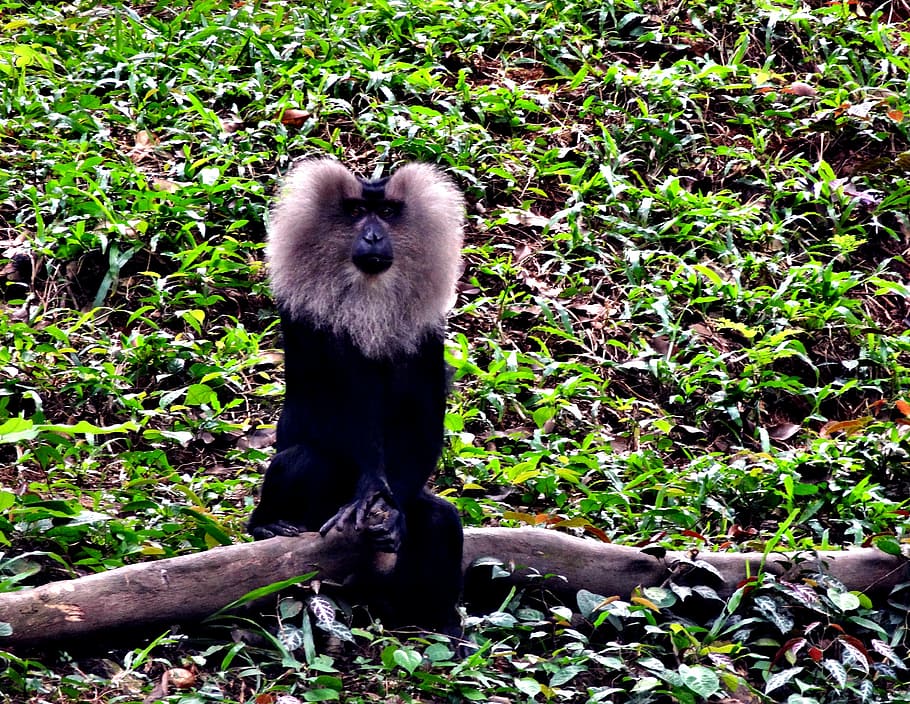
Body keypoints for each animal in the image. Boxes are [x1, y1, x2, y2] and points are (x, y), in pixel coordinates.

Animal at [248, 158, 465, 637]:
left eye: (385, 212)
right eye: (353, 212)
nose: (372, 236)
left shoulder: (428, 333)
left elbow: (422, 415)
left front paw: (390, 508)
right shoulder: (307, 319)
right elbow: (332, 400)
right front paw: (369, 489)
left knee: (439, 519)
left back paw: (433, 622)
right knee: (306, 459)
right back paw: (267, 524)